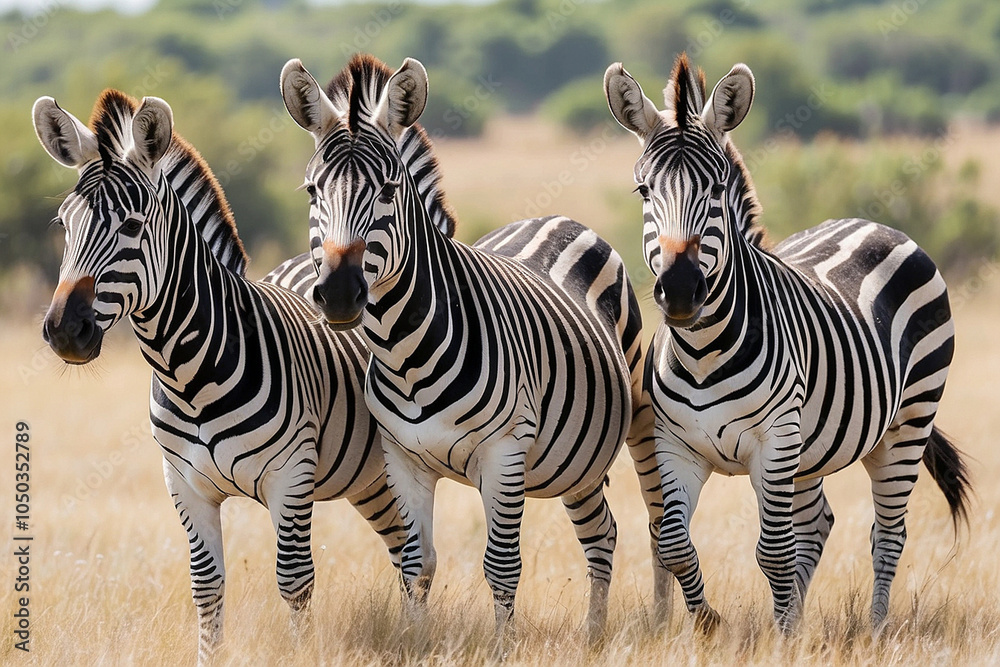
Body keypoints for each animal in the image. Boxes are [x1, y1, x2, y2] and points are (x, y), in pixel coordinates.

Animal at [32, 90, 407, 662]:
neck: (189, 378)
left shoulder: (290, 476)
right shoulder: (183, 485)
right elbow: (206, 586)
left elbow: (294, 581)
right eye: (61, 224)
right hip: (370, 479)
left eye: (133, 226)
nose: (63, 331)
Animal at [278, 53, 667, 640]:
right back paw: (594, 633)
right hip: (575, 462)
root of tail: (557, 218)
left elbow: (501, 566)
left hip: (633, 419)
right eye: (310, 191)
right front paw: (415, 640)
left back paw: (621, 629)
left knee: (633, 526)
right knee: (602, 532)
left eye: (389, 189)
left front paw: (504, 646)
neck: (404, 354)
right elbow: (415, 562)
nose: (340, 293)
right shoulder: (402, 459)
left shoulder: (503, 452)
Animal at [603, 53, 971, 633]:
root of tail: (869, 221)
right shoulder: (676, 445)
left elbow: (773, 551)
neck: (703, 352)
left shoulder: (774, 441)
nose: (681, 290)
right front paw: (712, 625)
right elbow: (676, 543)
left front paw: (778, 636)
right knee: (819, 522)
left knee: (887, 535)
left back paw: (876, 629)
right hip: (812, 449)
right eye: (644, 191)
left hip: (907, 423)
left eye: (717, 187)